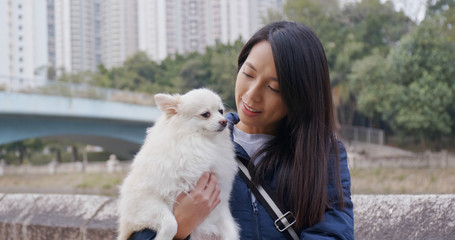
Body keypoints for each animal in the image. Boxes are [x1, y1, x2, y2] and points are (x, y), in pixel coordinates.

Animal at [116, 88, 239, 240]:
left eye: (221, 111)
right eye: (206, 114)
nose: (224, 121)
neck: (199, 143)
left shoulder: (220, 209)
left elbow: (232, 233)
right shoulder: (142, 202)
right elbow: (171, 223)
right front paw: (163, 238)